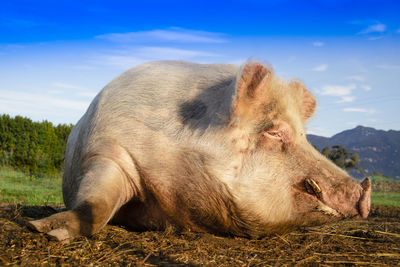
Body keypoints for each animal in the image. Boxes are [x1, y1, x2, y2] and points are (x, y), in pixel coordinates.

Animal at [28, 60, 372, 243]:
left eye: (304, 136)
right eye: (274, 131)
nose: (364, 190)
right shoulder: (106, 150)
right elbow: (95, 206)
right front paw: (44, 230)